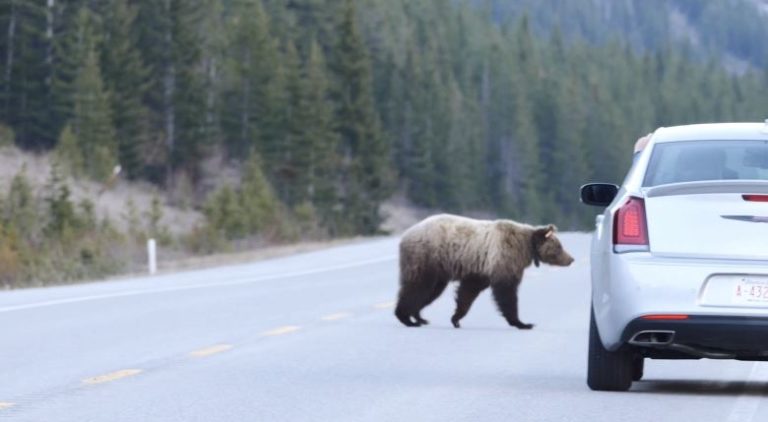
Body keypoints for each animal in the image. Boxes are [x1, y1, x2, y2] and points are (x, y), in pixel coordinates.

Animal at [392, 214, 572, 330]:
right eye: (559, 246)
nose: (571, 259)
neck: (526, 247)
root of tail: (405, 236)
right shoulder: (504, 258)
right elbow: (506, 291)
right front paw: (522, 323)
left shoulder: (480, 269)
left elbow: (468, 291)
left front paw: (456, 318)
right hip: (427, 256)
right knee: (418, 286)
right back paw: (406, 318)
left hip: (439, 268)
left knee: (430, 291)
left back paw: (419, 317)